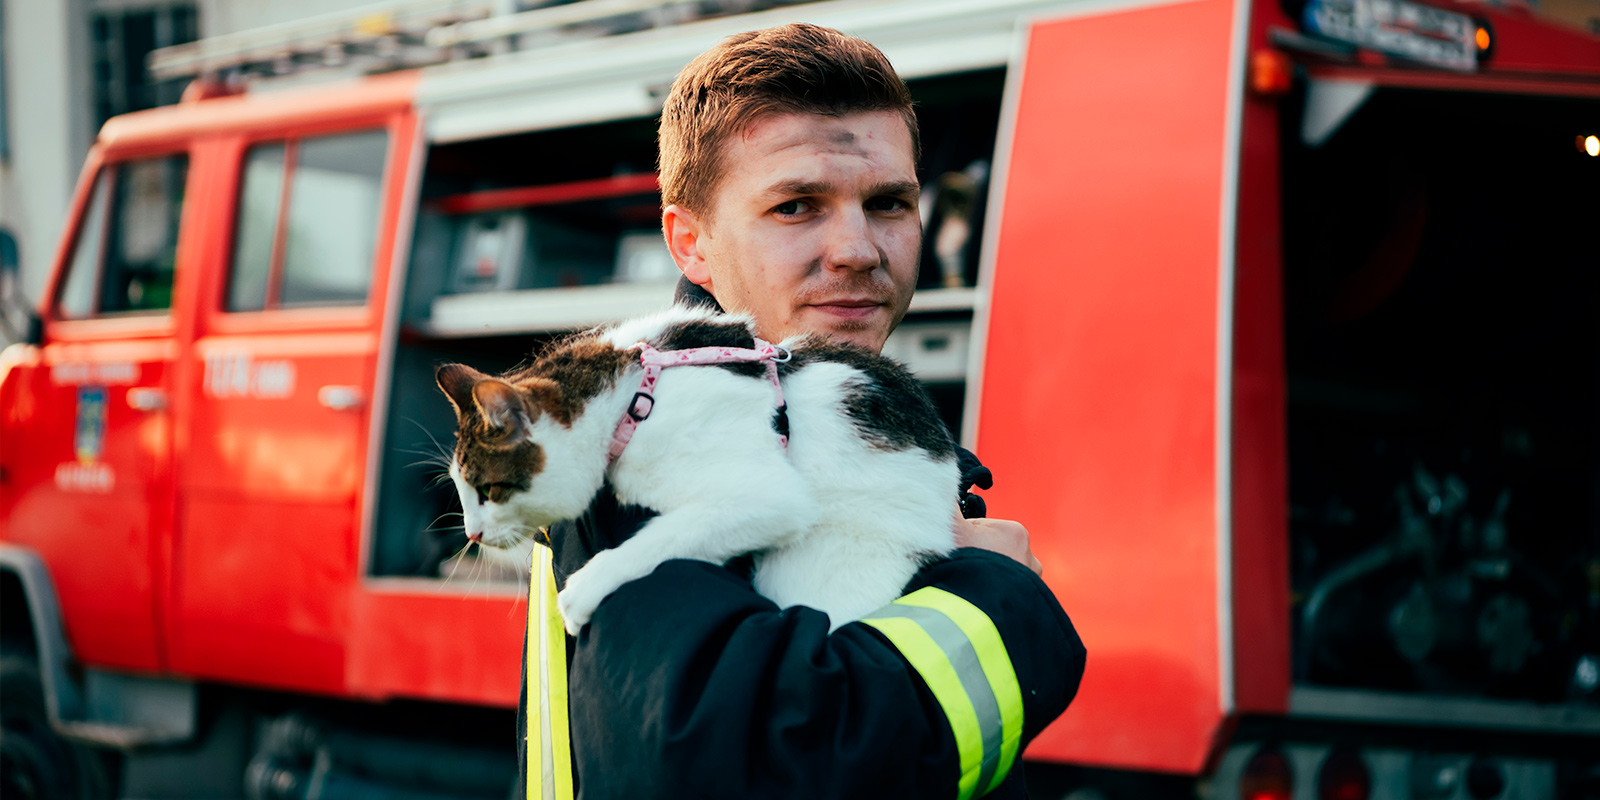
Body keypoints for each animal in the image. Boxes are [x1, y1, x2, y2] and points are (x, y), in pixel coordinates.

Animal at [438, 302, 953, 633]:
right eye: (461, 490)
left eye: (489, 491)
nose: (471, 534)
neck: (633, 393)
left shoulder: (768, 495)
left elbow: (667, 536)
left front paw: (588, 588)